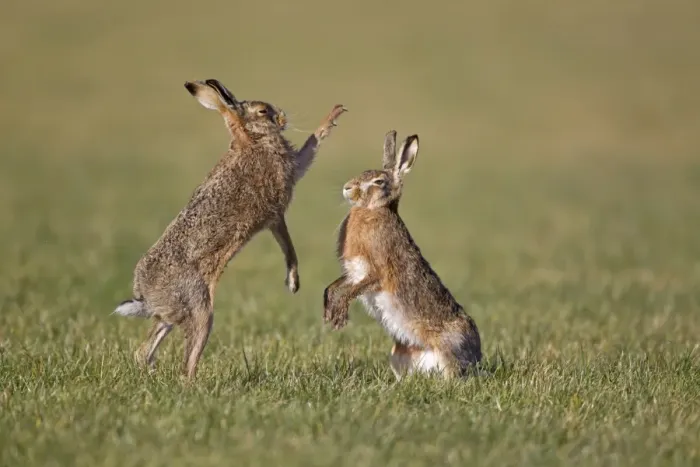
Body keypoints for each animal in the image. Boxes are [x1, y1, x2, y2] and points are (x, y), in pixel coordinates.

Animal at [113, 78, 346, 379]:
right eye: (262, 111)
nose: (282, 116)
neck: (251, 139)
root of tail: (144, 296)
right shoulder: (276, 212)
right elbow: (311, 147)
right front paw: (293, 282)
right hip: (200, 309)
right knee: (187, 361)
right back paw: (192, 384)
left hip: (172, 313)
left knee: (145, 348)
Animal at [323, 131, 481, 380]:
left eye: (379, 182)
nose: (347, 188)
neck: (373, 210)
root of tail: (478, 356)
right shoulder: (354, 272)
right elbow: (334, 287)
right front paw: (329, 311)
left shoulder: (376, 272)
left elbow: (353, 290)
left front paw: (338, 317)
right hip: (398, 354)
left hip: (448, 351)